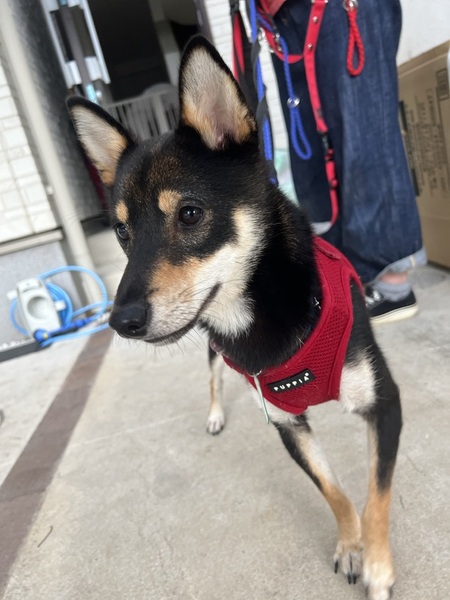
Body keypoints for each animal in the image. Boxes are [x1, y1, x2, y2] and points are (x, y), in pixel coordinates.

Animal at [68, 36, 402, 600]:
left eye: (190, 214)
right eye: (122, 234)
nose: (122, 321)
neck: (265, 314)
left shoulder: (383, 402)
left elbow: (375, 491)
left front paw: (377, 562)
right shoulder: (286, 423)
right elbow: (334, 490)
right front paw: (351, 545)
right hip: (212, 351)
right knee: (214, 379)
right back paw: (215, 414)